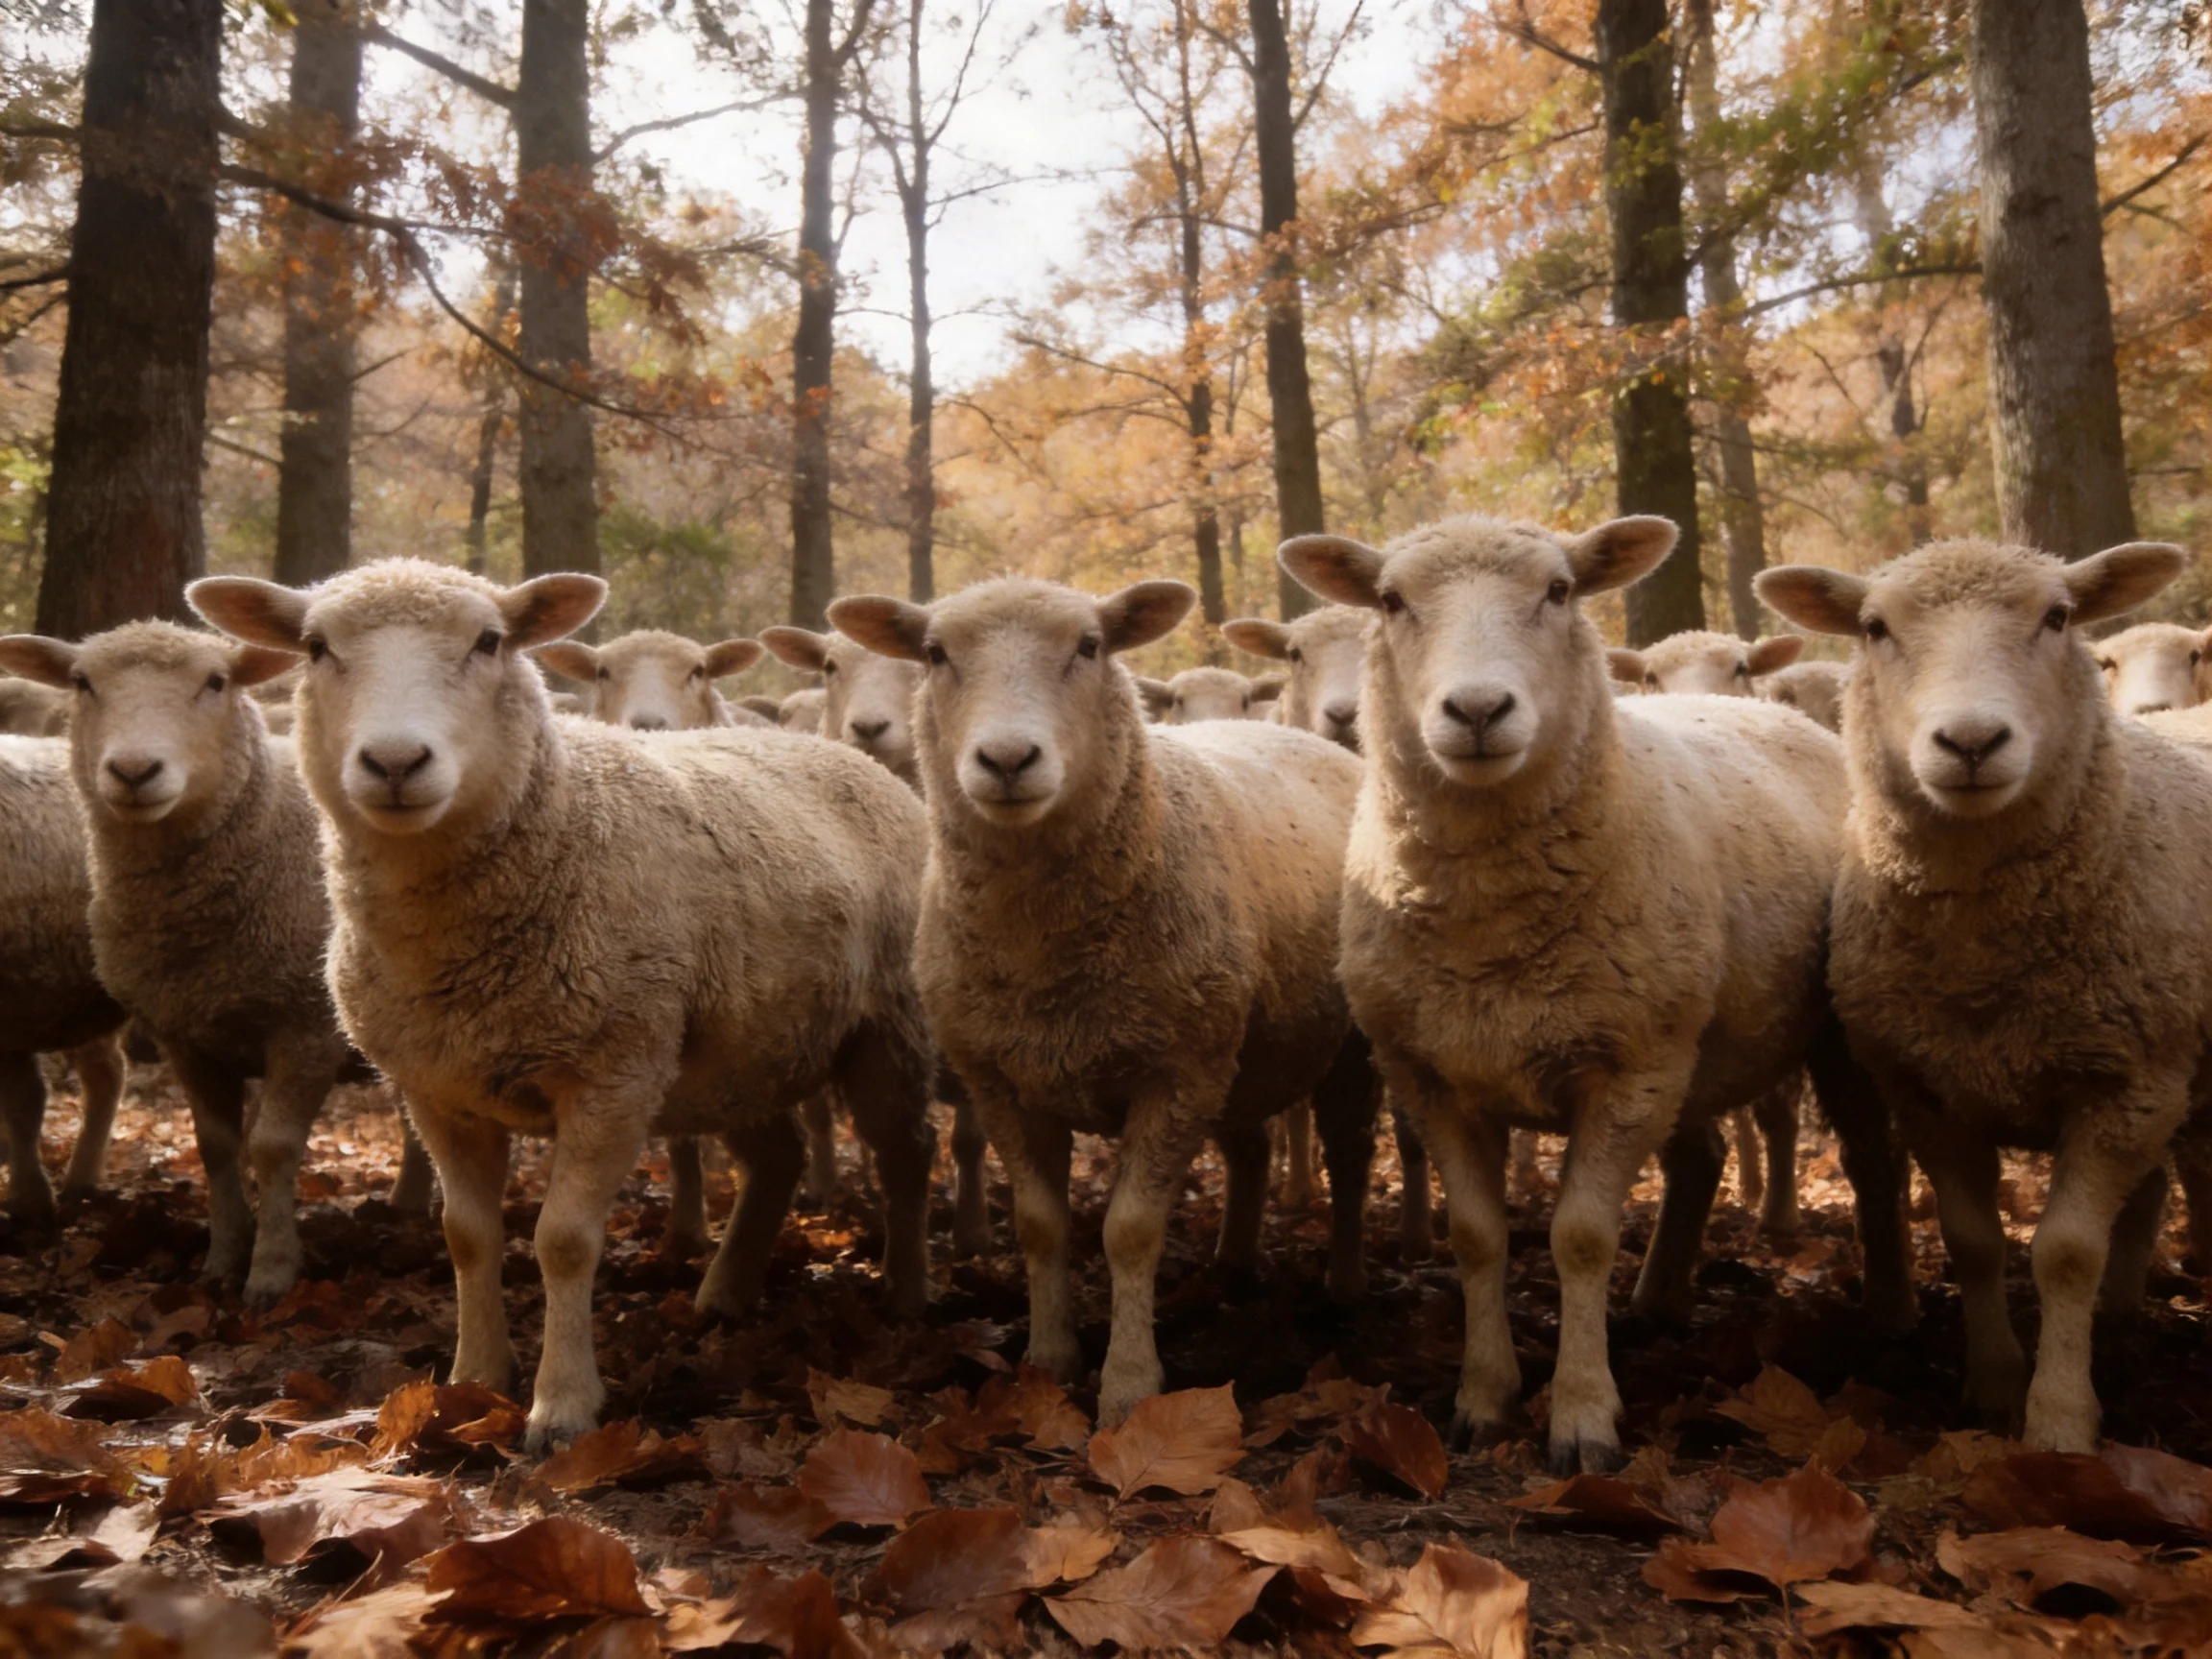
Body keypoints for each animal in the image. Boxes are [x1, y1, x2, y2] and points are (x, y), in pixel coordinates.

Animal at [1759, 537, 2212, 1453]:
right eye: (1874, 627)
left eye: (2059, 617)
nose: (1971, 741)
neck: (1983, 970)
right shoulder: (1929, 1090)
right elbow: (1974, 1241)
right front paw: (1995, 1387)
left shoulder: (2125, 1085)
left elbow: (2066, 1252)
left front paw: (2061, 1420)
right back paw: (2119, 1327)